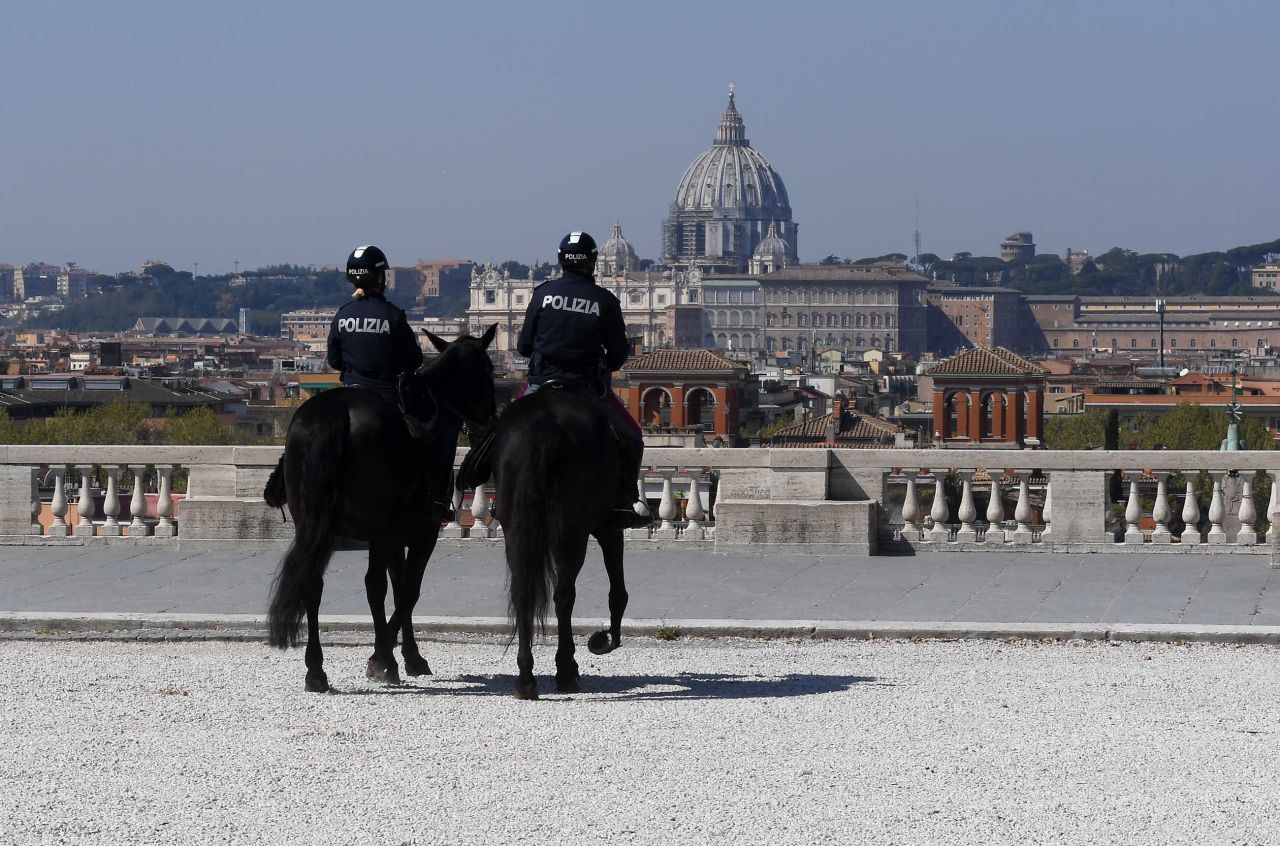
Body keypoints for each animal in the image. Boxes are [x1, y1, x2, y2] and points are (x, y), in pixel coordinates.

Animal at [264, 326, 494, 691]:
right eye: (488, 370)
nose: (492, 419)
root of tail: (336, 412)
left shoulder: (393, 536)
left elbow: (397, 586)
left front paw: (408, 657)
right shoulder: (420, 532)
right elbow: (407, 590)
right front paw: (387, 658)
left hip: (316, 525)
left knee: (313, 583)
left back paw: (316, 670)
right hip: (380, 524)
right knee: (374, 583)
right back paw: (374, 658)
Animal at [486, 386, 632, 696]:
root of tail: (544, 423)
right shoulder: (609, 526)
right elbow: (617, 589)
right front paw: (608, 639)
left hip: (515, 527)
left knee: (522, 592)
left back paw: (526, 677)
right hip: (573, 529)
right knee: (564, 594)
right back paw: (565, 671)